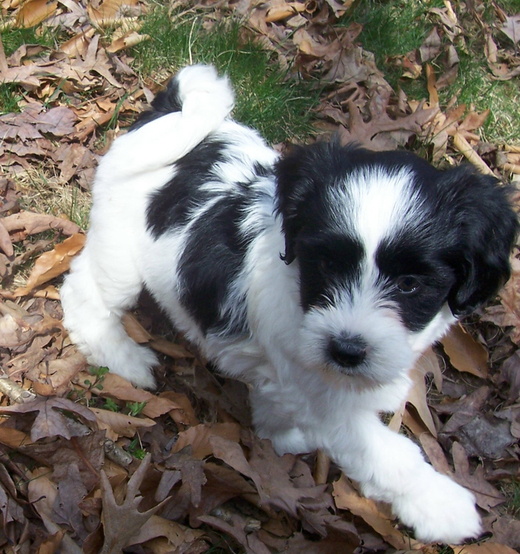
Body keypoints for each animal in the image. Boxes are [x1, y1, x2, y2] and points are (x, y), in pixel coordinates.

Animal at [60, 66, 516, 544]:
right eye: (327, 264)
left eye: (410, 284)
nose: (346, 350)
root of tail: (169, 109)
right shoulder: (325, 399)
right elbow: (385, 454)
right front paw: (440, 505)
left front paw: (280, 434)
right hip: (122, 251)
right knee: (85, 293)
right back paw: (125, 358)